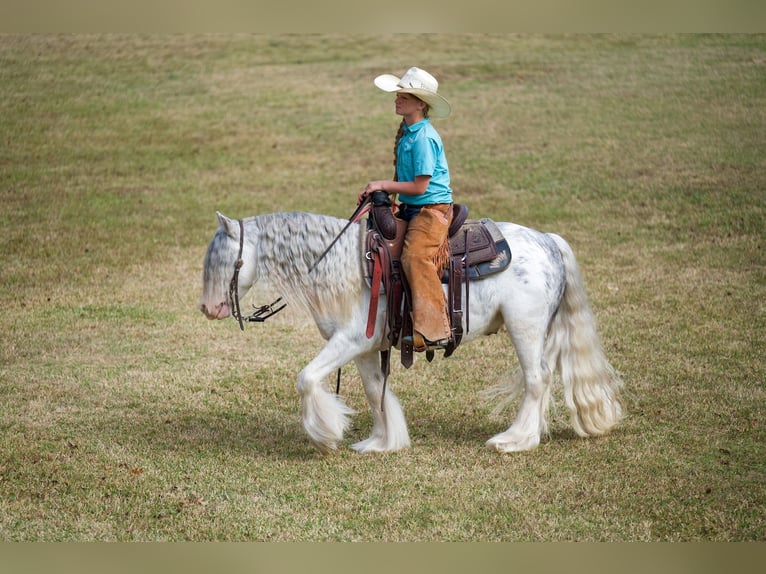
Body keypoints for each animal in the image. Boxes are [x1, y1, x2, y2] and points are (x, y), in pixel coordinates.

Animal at [199, 210, 624, 454]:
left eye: (228, 260)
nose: (208, 308)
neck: (344, 265)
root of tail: (549, 241)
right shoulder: (365, 348)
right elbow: (375, 391)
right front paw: (382, 442)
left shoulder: (349, 340)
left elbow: (306, 379)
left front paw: (326, 434)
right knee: (546, 378)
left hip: (526, 327)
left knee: (536, 380)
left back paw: (514, 441)